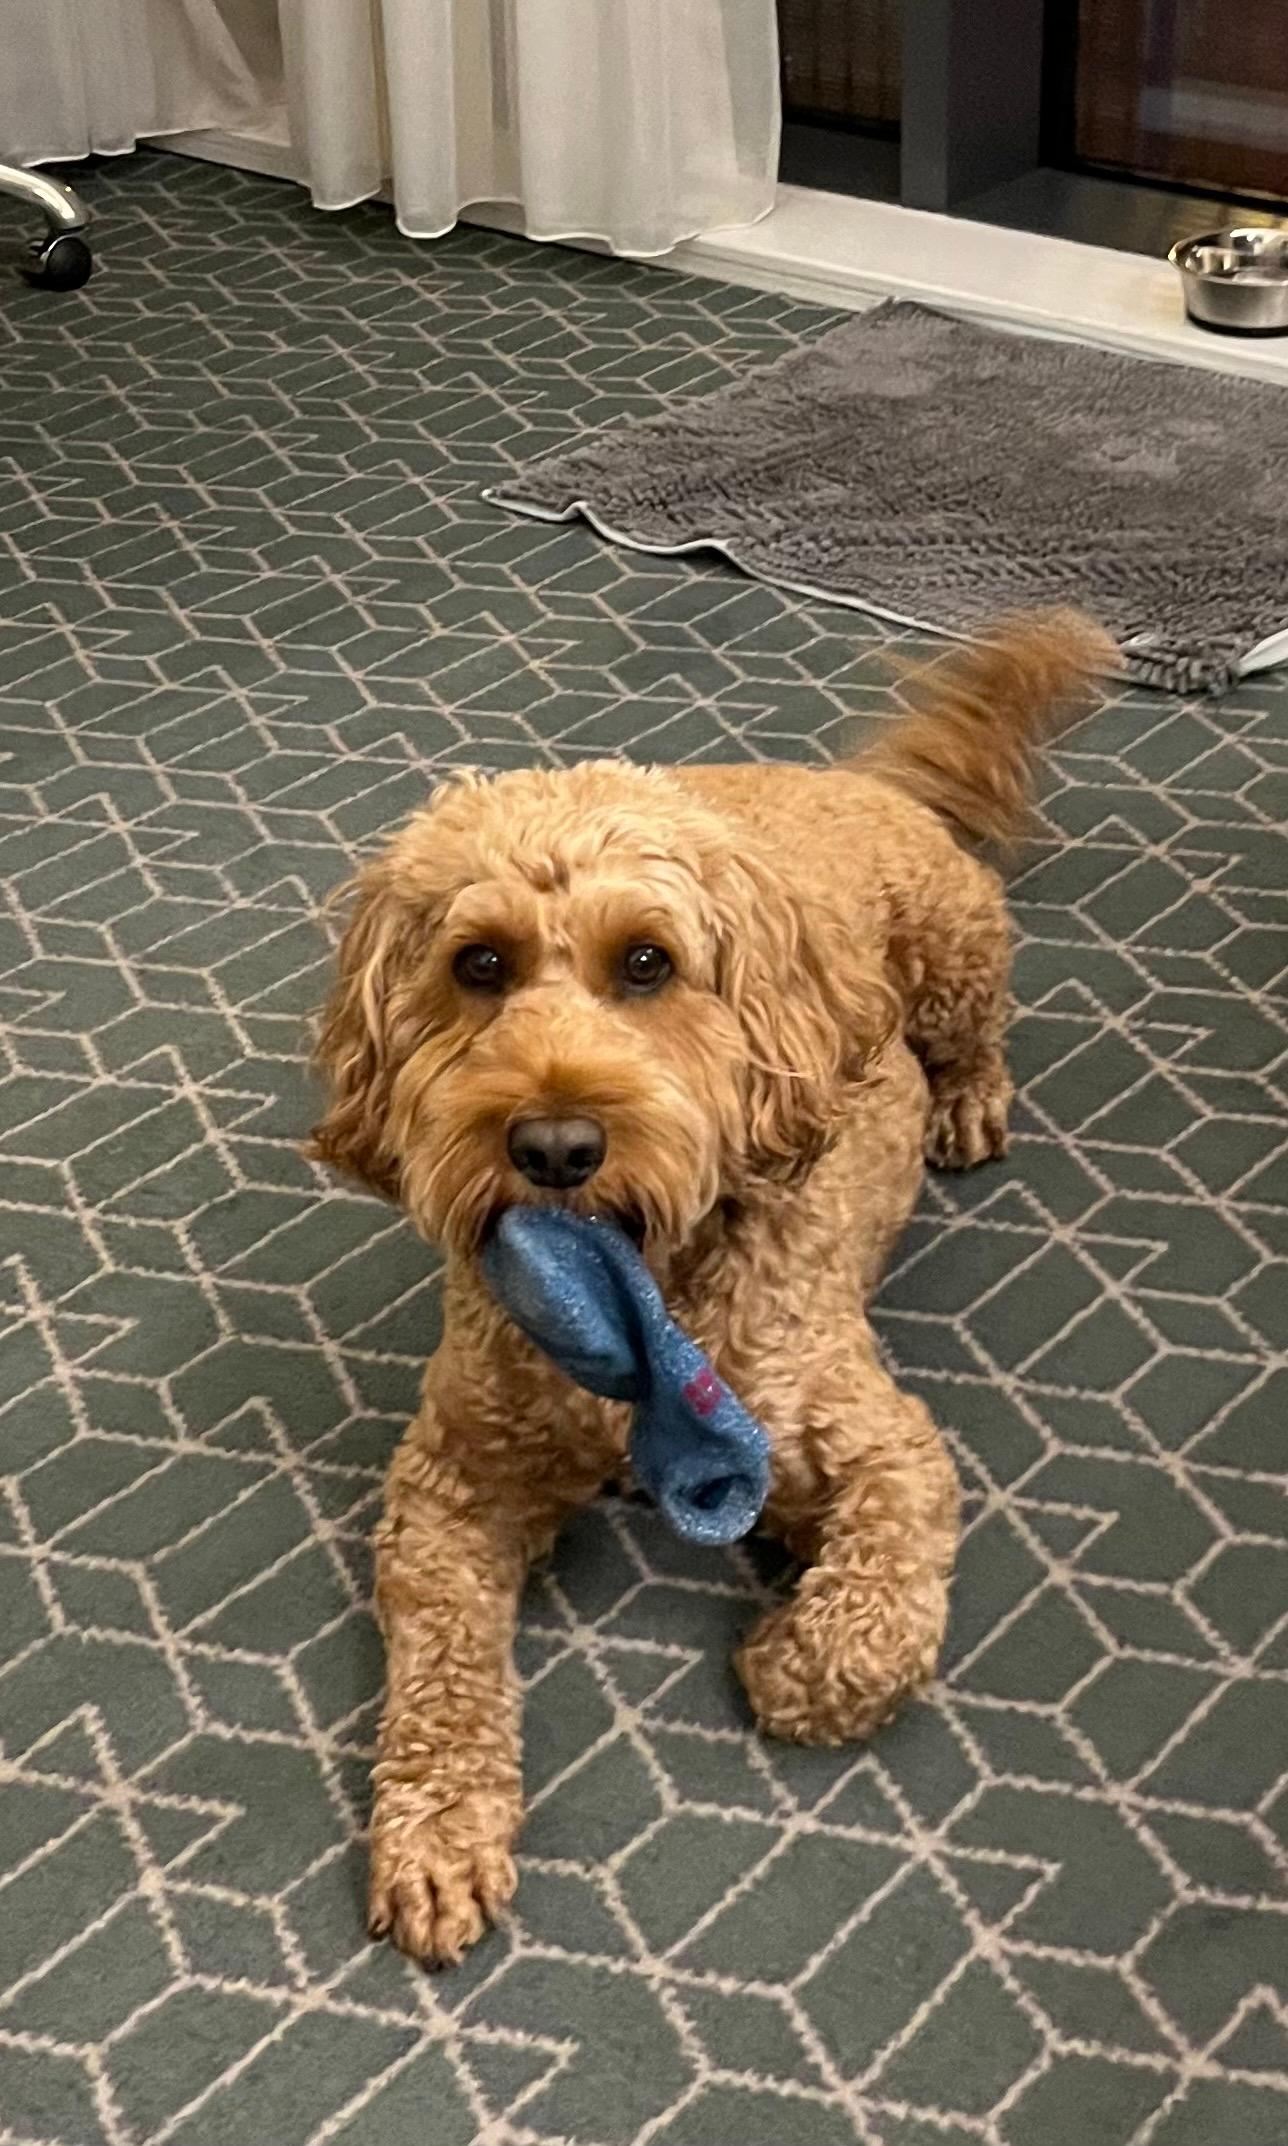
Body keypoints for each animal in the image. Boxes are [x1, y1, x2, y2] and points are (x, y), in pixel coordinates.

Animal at [309, 605, 1107, 1965]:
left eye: (647, 962)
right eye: (478, 963)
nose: (554, 1144)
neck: (639, 1289)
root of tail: (858, 781)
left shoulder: (876, 1441)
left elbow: (876, 1615)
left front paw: (793, 1659)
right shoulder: (452, 1482)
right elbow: (441, 1664)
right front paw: (435, 1829)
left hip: (956, 948)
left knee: (975, 1037)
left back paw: (964, 1099)